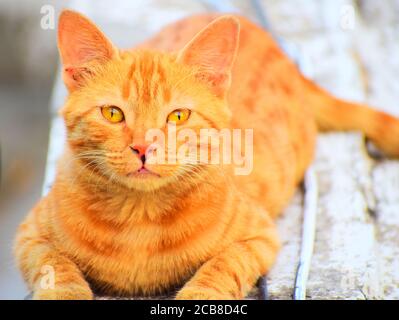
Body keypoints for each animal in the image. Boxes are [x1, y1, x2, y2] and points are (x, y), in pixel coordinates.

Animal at [14, 10, 399, 300]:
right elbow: (57, 270)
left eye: (177, 116)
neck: (139, 218)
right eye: (112, 113)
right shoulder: (30, 236)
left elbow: (222, 267)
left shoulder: (259, 236)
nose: (144, 147)